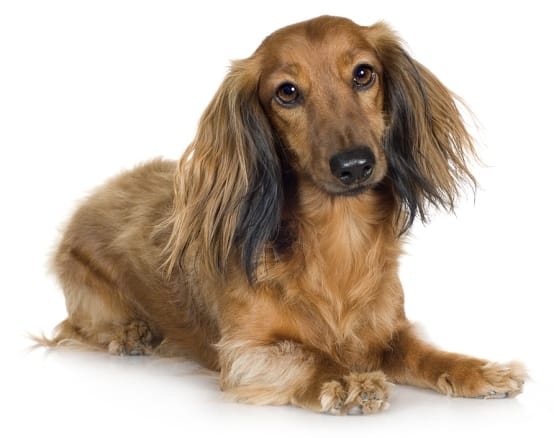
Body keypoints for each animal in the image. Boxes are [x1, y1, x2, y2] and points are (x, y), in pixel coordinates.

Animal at [41, 16, 524, 414]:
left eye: (363, 73)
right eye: (287, 92)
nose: (354, 165)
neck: (339, 240)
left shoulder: (390, 331)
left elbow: (428, 354)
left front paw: (481, 371)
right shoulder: (244, 352)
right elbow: (307, 354)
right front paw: (344, 379)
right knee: (79, 325)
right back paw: (129, 335)